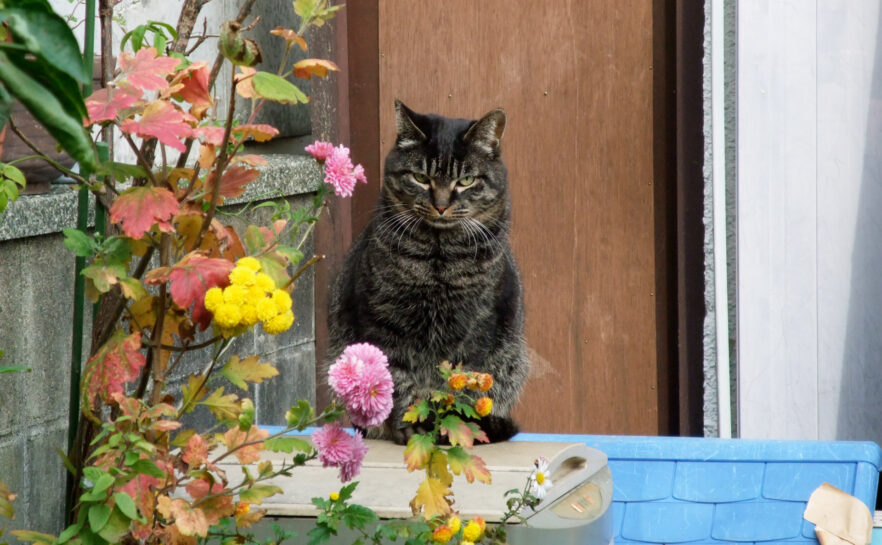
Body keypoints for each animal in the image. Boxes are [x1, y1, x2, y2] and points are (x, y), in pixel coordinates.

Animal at [326, 100, 524, 444]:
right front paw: (412, 423)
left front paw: (451, 426)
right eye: (420, 177)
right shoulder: (383, 321)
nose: (441, 205)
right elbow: (397, 379)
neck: (438, 261)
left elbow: (461, 383)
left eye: (467, 180)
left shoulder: (477, 326)